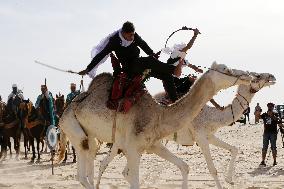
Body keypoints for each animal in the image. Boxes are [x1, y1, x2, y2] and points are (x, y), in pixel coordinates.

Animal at [57, 62, 253, 189]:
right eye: (226, 69)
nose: (248, 76)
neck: (158, 114)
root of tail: (63, 112)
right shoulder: (134, 147)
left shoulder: (151, 144)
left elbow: (185, 166)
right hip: (75, 130)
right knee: (83, 172)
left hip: (93, 137)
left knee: (91, 164)